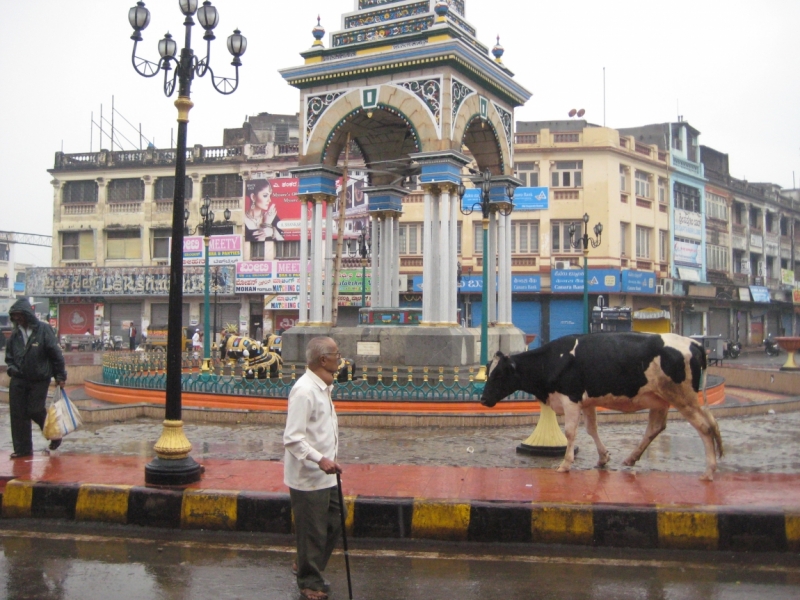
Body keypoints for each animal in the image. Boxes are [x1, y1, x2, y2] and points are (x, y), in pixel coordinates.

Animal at [482, 330, 724, 480]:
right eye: (487, 372)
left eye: (498, 375)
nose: (483, 400)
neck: (552, 359)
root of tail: (694, 342)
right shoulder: (587, 401)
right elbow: (591, 429)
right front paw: (603, 458)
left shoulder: (570, 399)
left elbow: (570, 432)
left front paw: (565, 464)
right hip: (661, 398)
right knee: (659, 427)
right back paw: (631, 458)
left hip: (683, 397)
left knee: (705, 427)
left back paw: (709, 472)